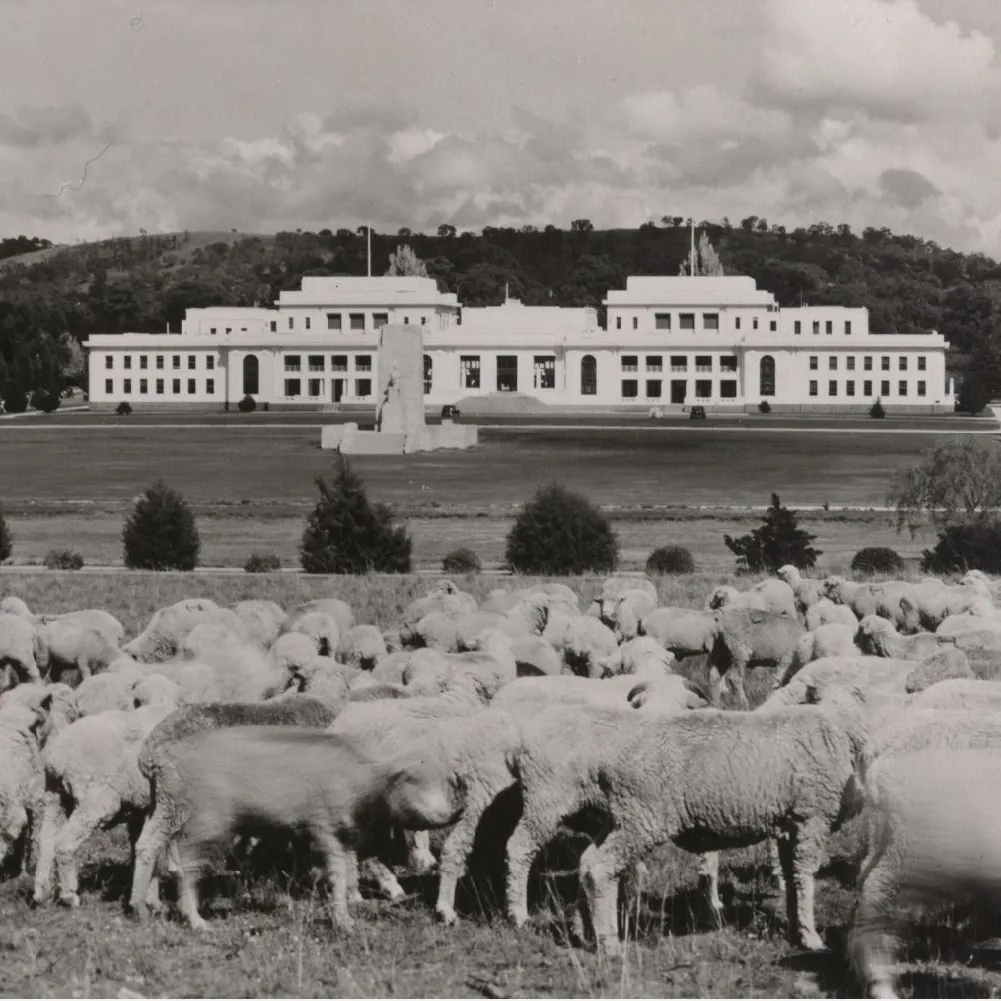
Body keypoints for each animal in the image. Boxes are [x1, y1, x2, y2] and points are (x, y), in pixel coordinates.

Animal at [126, 728, 460, 928]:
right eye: (414, 780)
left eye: (445, 782)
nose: (452, 812)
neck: (365, 785)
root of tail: (161, 762)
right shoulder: (324, 825)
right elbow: (337, 872)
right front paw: (344, 922)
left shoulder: (343, 834)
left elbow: (346, 870)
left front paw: (347, 913)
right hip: (203, 821)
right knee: (184, 866)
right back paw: (197, 922)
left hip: (166, 807)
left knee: (150, 848)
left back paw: (143, 908)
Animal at [504, 704, 864, 952]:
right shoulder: (812, 818)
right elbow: (804, 878)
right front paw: (811, 937)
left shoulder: (791, 824)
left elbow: (791, 878)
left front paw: (794, 928)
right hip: (610, 810)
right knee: (576, 862)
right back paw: (598, 940)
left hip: (621, 817)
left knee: (587, 861)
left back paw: (583, 931)